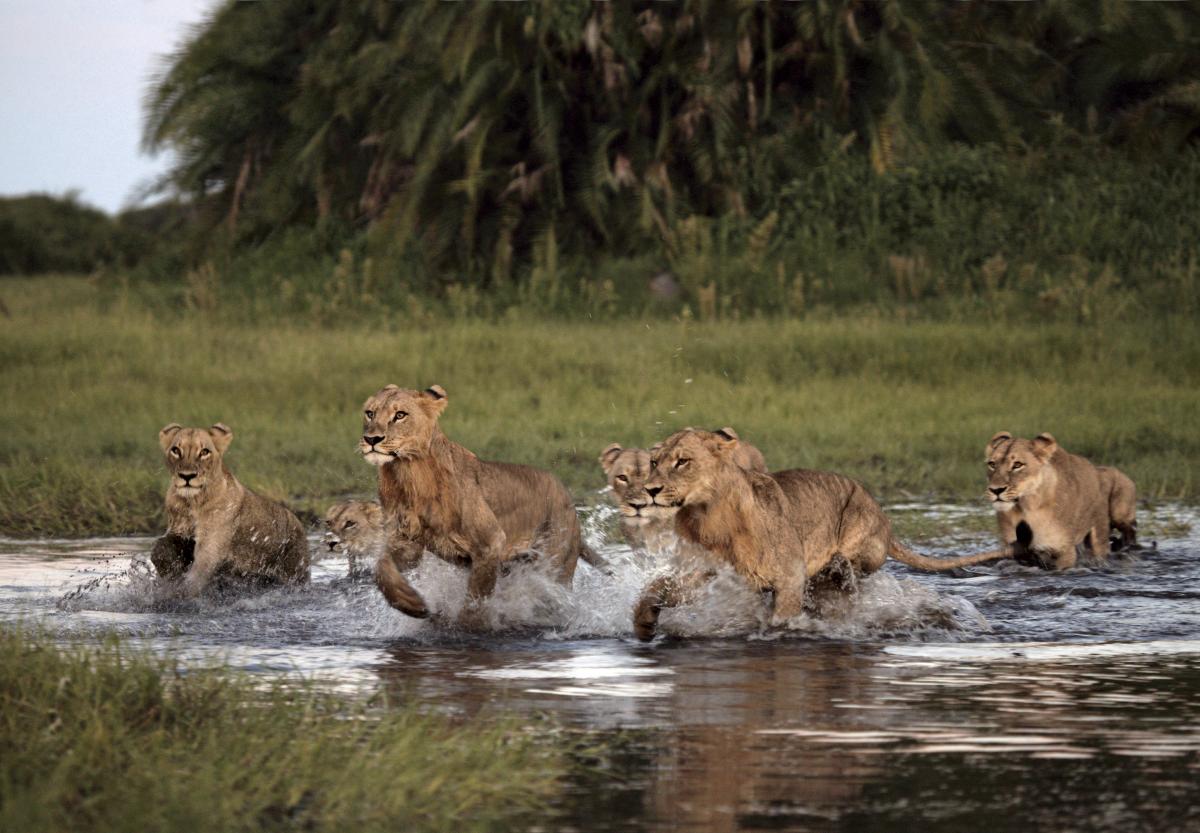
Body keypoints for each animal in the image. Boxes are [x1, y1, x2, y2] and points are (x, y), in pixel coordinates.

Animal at [151, 427, 309, 597]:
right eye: (176, 450)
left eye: (204, 452)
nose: (187, 476)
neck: (192, 503)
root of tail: (297, 521)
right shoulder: (178, 531)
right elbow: (159, 548)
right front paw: (170, 573)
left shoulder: (211, 544)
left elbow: (199, 571)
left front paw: (179, 594)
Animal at [355, 381, 600, 624]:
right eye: (370, 413)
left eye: (400, 415)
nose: (371, 439)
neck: (406, 473)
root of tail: (569, 501)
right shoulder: (407, 542)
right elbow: (382, 567)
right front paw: (410, 602)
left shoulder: (490, 543)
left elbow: (476, 598)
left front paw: (468, 626)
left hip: (553, 565)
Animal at [633, 427, 1008, 643]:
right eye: (654, 462)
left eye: (682, 461)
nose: (650, 490)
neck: (708, 516)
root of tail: (885, 519)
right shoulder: (705, 574)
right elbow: (657, 587)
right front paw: (643, 624)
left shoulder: (790, 575)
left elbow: (782, 619)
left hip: (855, 534)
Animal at [979, 434, 1137, 571]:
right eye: (992, 464)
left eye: (1017, 465)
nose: (996, 490)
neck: (1026, 507)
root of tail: (1099, 469)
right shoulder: (1015, 549)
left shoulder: (1065, 551)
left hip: (1114, 518)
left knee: (1129, 530)